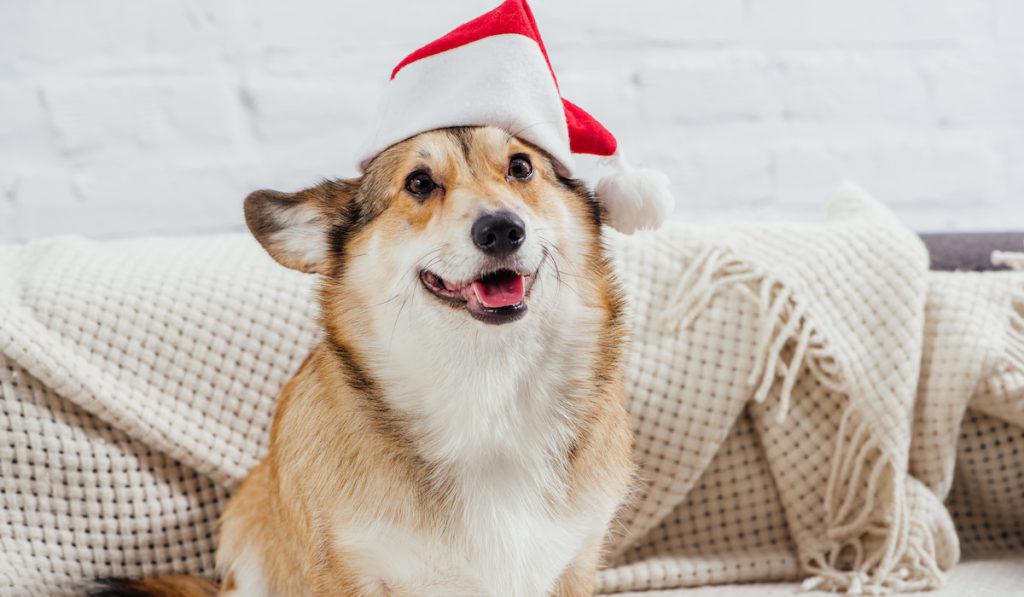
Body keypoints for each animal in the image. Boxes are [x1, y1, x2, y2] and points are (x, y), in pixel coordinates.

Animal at [99, 123, 634, 593]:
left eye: (521, 167)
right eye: (419, 182)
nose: (502, 230)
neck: (484, 388)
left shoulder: (576, 561)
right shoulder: (348, 569)